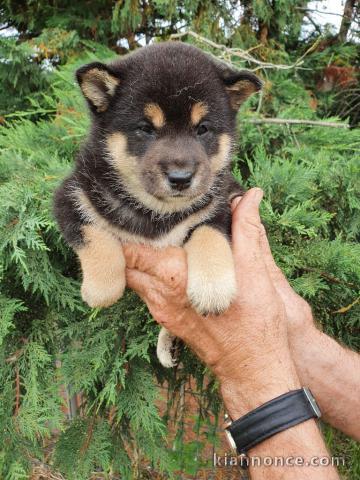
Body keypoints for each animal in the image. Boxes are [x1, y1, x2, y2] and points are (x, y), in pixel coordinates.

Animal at [53, 42, 262, 368]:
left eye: (202, 129)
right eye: (146, 128)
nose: (181, 178)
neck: (159, 212)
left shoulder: (226, 199)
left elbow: (209, 232)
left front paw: (213, 288)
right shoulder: (70, 196)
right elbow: (93, 234)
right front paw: (101, 287)